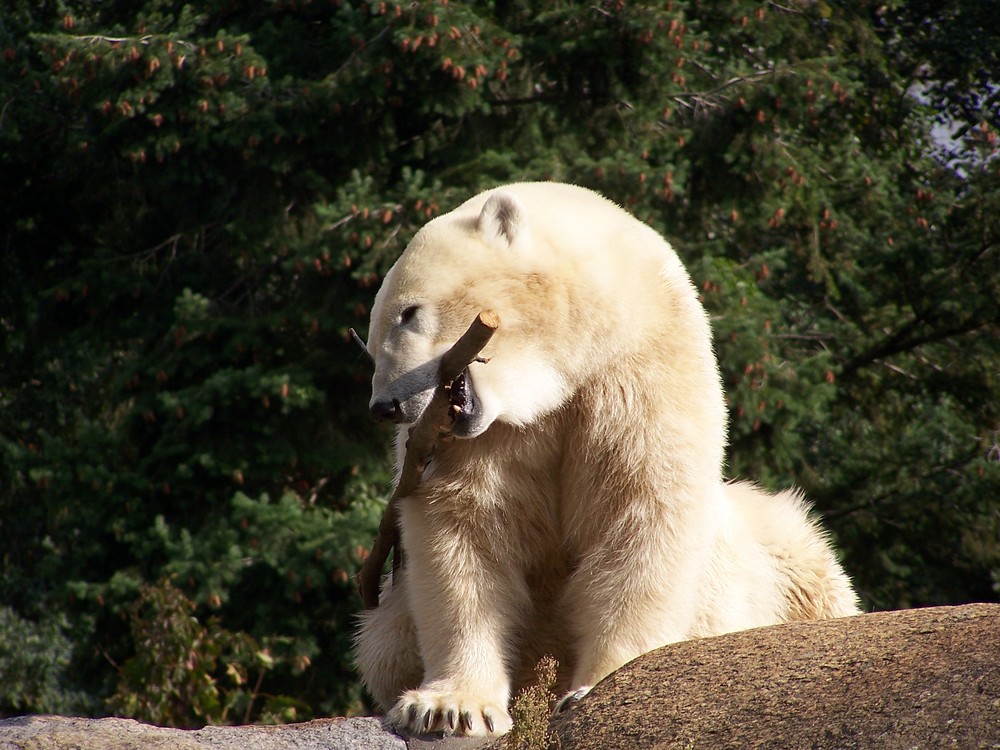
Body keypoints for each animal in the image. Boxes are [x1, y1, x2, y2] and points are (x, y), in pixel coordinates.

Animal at [356, 184, 864, 740]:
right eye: (372, 338)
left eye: (408, 312)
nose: (384, 406)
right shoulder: (482, 440)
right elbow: (462, 533)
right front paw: (448, 707)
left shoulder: (638, 371)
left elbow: (640, 511)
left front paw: (594, 686)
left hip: (785, 560)